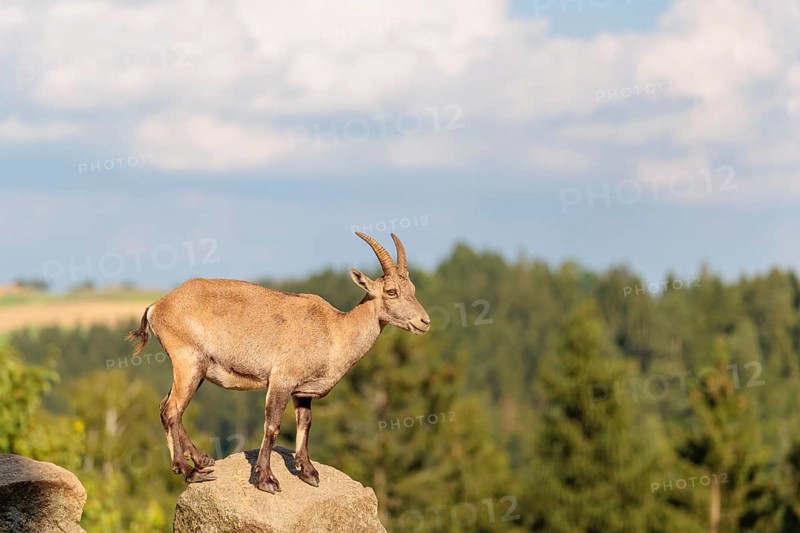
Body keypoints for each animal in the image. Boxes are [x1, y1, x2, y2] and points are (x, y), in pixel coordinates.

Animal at [126, 232, 430, 493]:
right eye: (391, 291)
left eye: (413, 288)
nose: (424, 321)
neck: (334, 331)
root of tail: (156, 306)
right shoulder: (282, 379)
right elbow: (272, 426)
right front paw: (266, 479)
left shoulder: (302, 391)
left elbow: (305, 423)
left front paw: (308, 472)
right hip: (188, 361)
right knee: (171, 410)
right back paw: (189, 472)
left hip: (195, 370)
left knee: (166, 406)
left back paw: (202, 459)